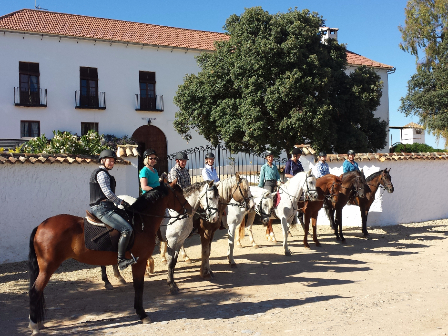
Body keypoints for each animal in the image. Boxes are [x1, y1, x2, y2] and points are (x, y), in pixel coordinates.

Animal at [27, 182, 192, 334]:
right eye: (180, 194)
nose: (190, 209)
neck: (142, 221)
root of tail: (41, 226)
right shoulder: (140, 261)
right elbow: (139, 287)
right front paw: (142, 314)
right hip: (48, 267)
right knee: (35, 290)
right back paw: (34, 325)